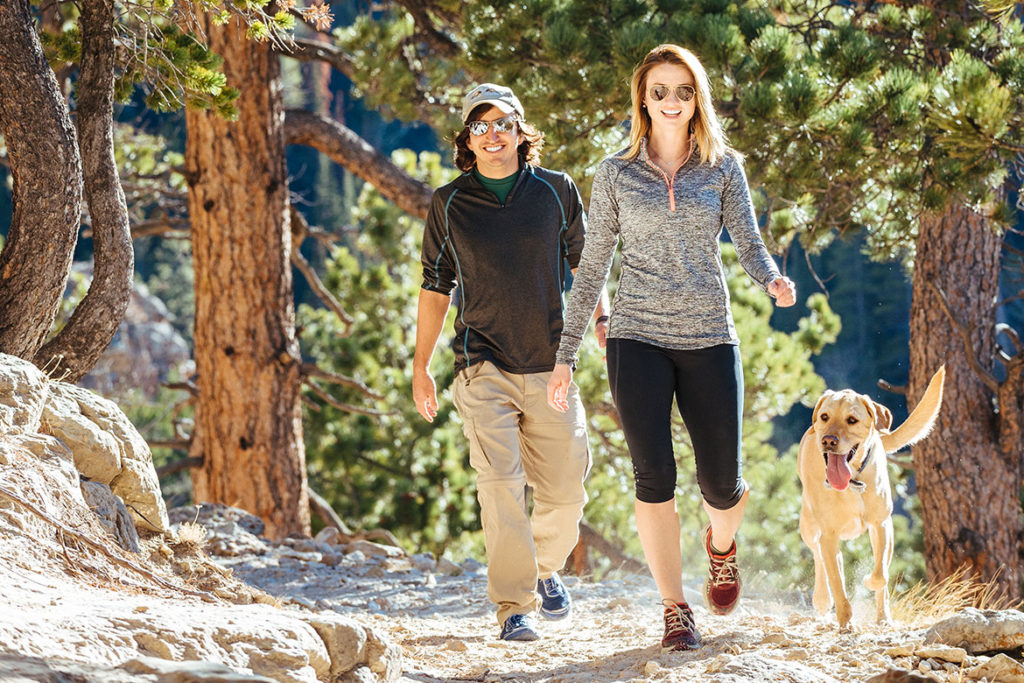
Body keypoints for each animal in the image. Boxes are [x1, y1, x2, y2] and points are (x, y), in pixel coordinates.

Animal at [798, 366, 942, 626]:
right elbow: (837, 582)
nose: (828, 441)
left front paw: (869, 584)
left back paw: (883, 617)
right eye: (824, 417)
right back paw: (822, 598)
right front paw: (845, 622)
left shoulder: (881, 525)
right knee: (819, 557)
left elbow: (880, 573)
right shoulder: (828, 533)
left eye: (852, 420)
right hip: (808, 525)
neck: (851, 483)